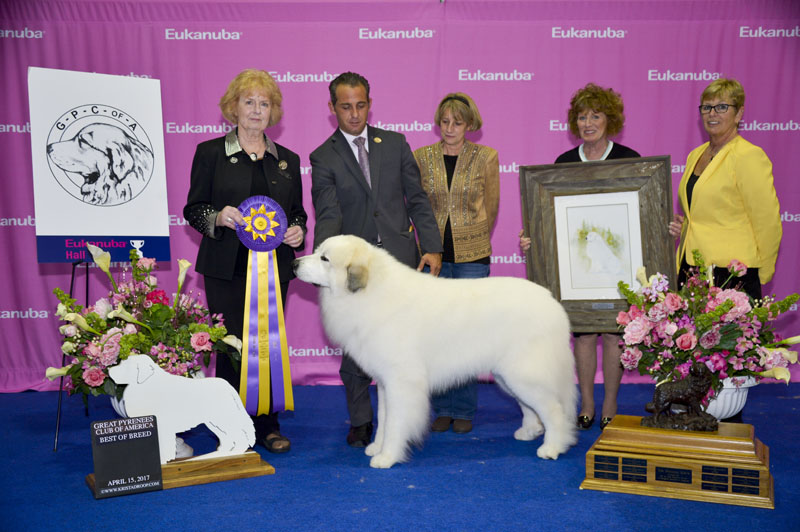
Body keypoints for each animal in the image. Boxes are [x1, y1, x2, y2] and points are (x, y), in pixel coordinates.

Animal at [292, 235, 576, 468]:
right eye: (316, 251)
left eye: (325, 258)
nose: (294, 264)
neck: (370, 292)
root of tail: (550, 301)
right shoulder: (384, 383)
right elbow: (384, 417)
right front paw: (376, 447)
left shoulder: (401, 382)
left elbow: (395, 421)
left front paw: (387, 456)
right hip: (508, 376)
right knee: (530, 407)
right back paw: (528, 432)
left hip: (523, 373)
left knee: (553, 409)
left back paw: (552, 447)